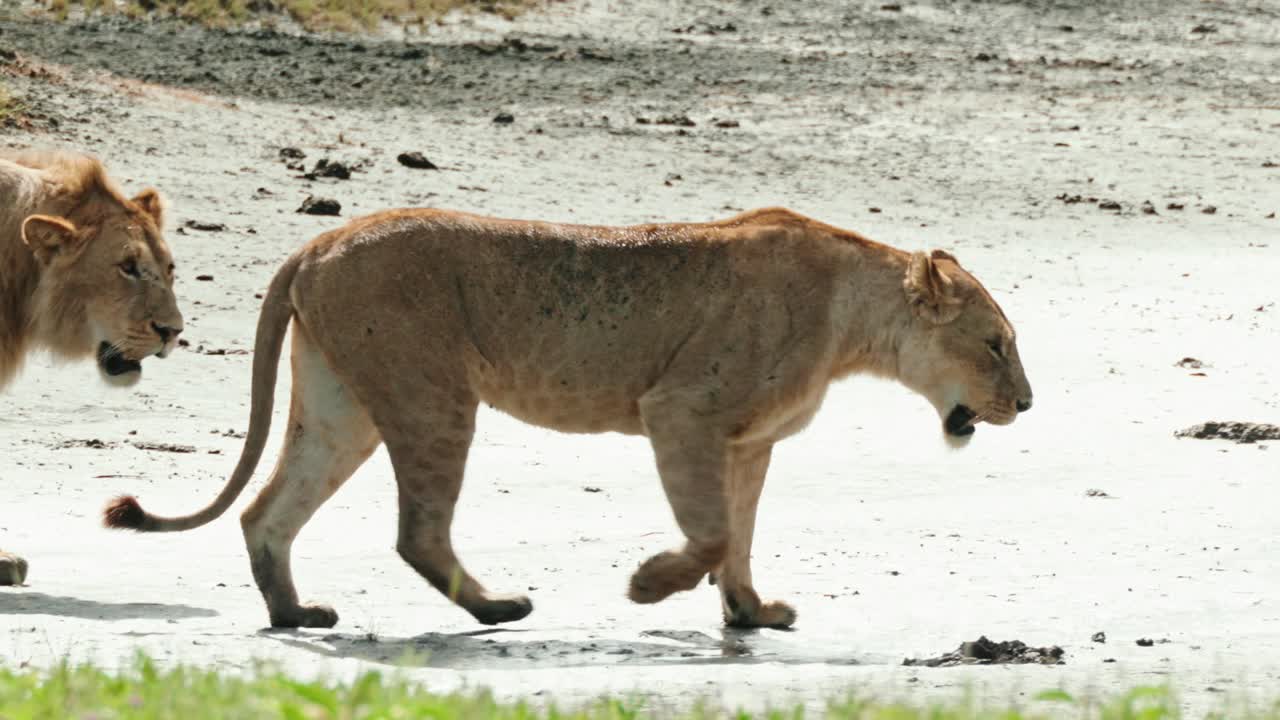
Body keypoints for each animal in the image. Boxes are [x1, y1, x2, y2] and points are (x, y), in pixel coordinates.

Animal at [104, 206, 1032, 629]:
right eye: (995, 344)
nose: (1026, 404)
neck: (852, 321)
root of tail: (321, 240)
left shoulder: (748, 443)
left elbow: (739, 535)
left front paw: (751, 612)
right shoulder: (682, 411)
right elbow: (712, 534)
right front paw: (650, 586)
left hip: (343, 410)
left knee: (267, 512)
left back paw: (297, 615)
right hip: (435, 397)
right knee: (416, 531)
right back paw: (496, 609)